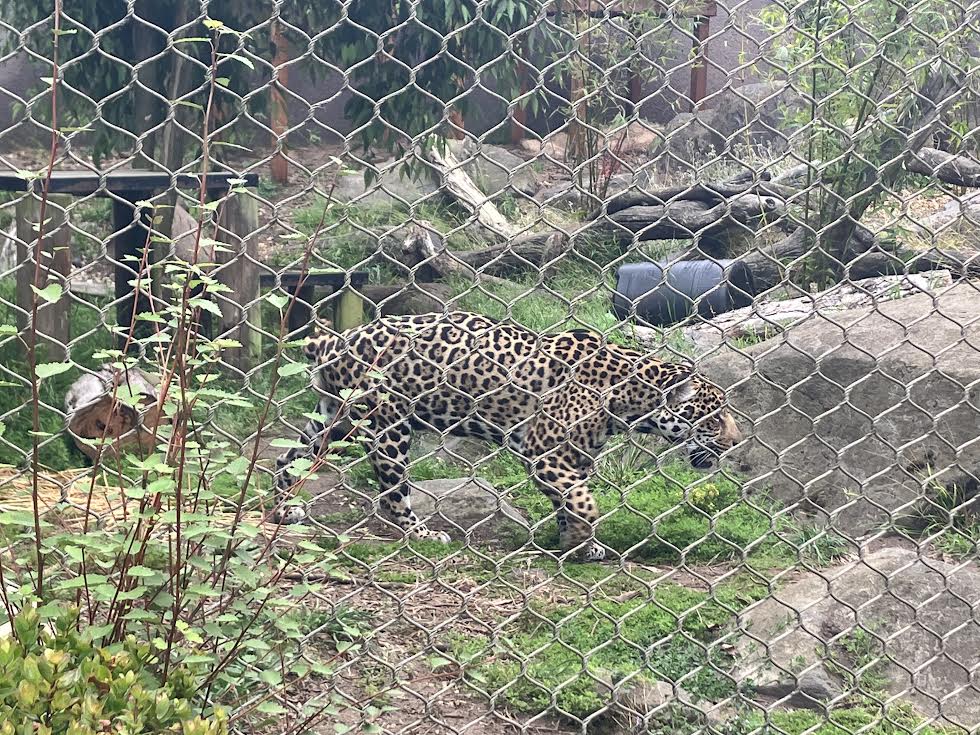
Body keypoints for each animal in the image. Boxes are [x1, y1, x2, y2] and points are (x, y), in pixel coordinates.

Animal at [272, 311, 742, 561]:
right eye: (716, 417)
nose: (736, 443)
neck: (627, 397)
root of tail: (334, 341)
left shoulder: (571, 461)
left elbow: (570, 502)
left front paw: (573, 543)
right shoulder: (545, 452)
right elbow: (585, 504)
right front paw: (580, 544)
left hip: (332, 419)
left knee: (285, 457)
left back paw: (283, 511)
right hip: (384, 423)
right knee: (392, 494)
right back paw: (423, 535)